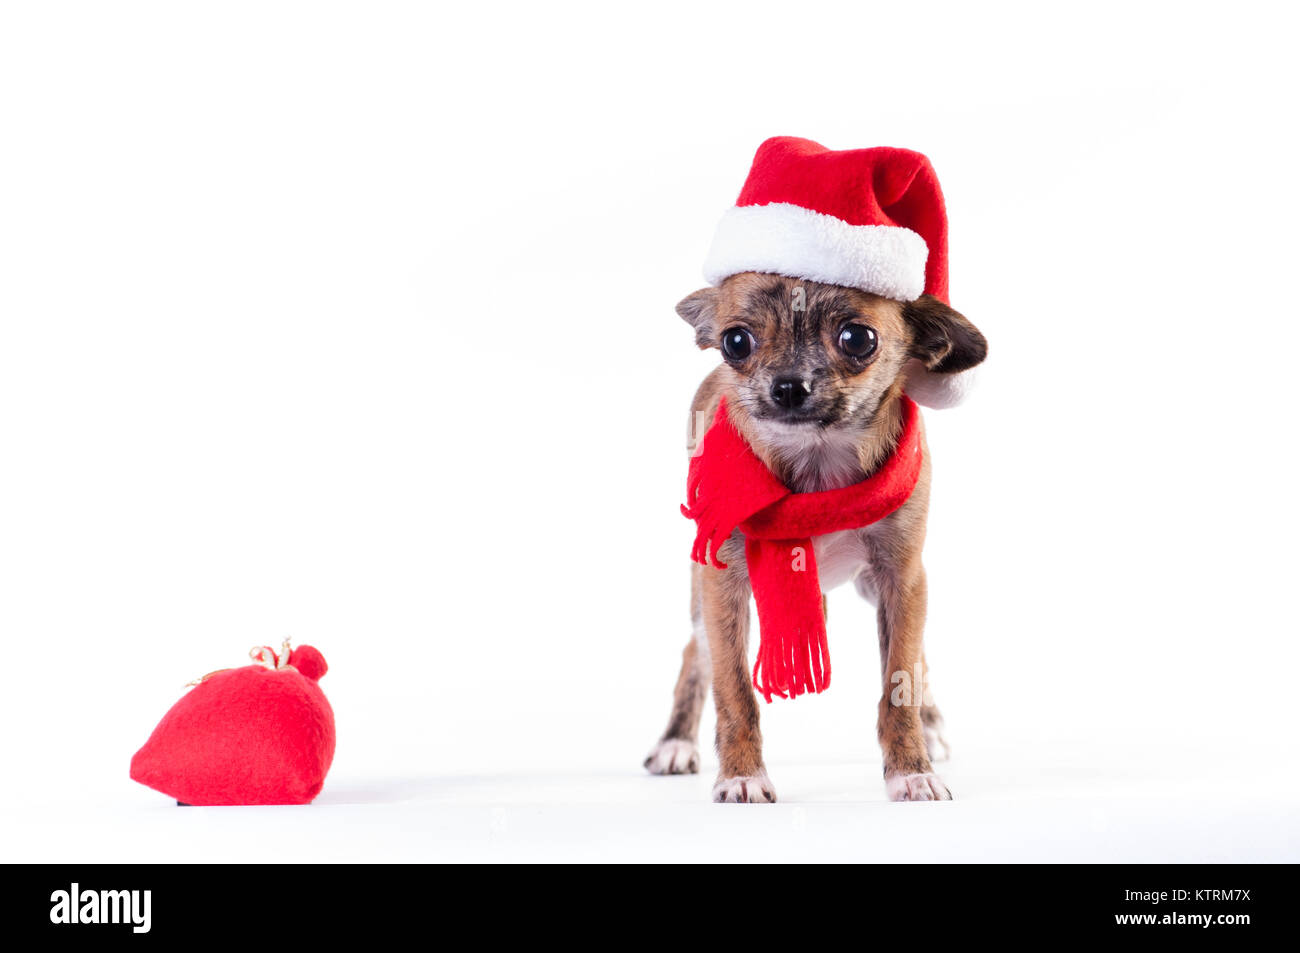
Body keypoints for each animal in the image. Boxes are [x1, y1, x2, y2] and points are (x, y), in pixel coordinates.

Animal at [639, 269, 982, 800]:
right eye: (735, 342)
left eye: (858, 339)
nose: (787, 385)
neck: (818, 461)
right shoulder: (723, 588)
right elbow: (734, 691)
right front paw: (742, 776)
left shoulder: (902, 579)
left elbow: (901, 677)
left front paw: (911, 770)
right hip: (702, 599)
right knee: (696, 655)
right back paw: (675, 743)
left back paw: (930, 723)